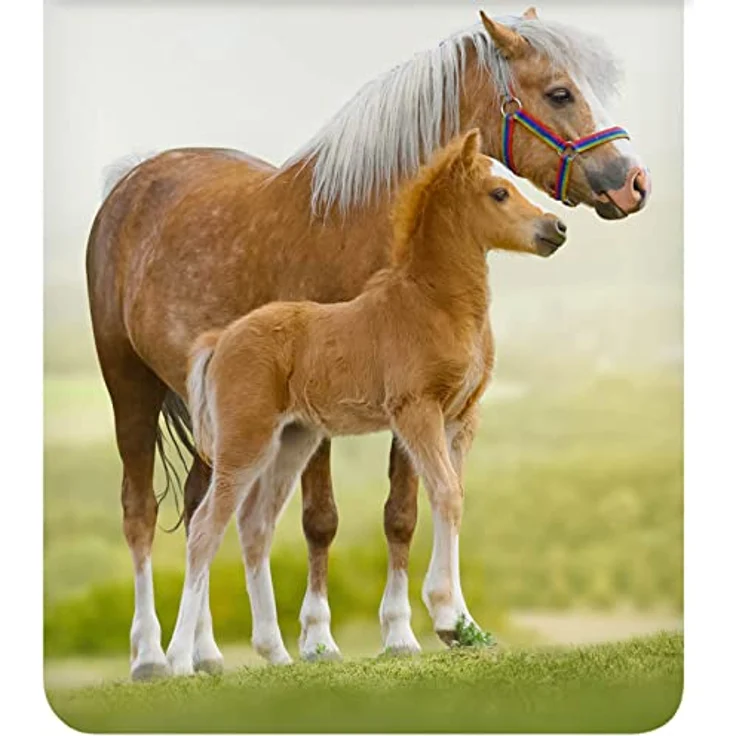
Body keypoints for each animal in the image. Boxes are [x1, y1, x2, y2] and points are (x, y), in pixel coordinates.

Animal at [164, 129, 567, 674]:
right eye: (499, 193)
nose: (556, 227)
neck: (434, 304)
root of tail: (222, 338)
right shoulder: (417, 411)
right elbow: (445, 494)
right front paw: (445, 618)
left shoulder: (462, 418)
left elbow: (455, 497)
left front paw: (464, 625)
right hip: (246, 440)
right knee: (206, 528)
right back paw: (180, 660)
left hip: (294, 439)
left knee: (255, 525)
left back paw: (277, 653)